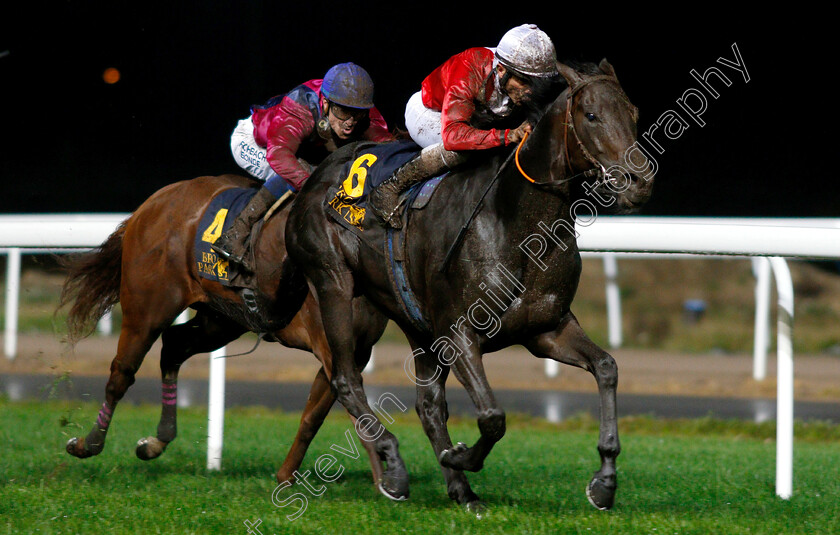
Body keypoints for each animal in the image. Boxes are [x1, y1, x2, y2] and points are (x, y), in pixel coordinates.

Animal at [58, 175, 388, 490]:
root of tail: (149, 205)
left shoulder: (356, 352)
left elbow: (316, 415)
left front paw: (286, 476)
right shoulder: (331, 347)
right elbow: (354, 409)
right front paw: (386, 481)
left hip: (222, 320)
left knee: (174, 346)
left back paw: (155, 441)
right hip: (147, 308)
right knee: (122, 373)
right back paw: (88, 443)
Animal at [286, 58, 652, 510]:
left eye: (633, 113)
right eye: (591, 115)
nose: (640, 181)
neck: (517, 224)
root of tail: (317, 175)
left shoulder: (546, 329)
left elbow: (606, 368)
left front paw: (604, 481)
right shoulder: (458, 332)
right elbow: (493, 418)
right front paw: (459, 454)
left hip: (414, 322)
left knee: (427, 404)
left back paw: (459, 489)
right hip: (335, 285)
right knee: (346, 379)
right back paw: (395, 469)